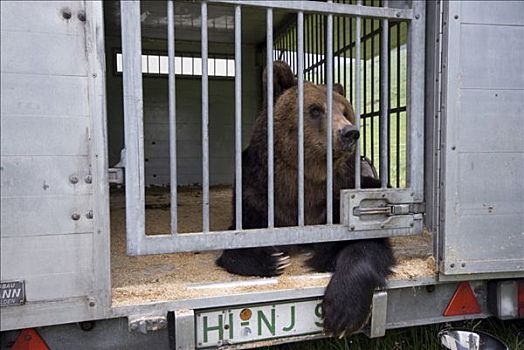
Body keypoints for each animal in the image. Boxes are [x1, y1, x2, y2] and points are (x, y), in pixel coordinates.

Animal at [216, 61, 392, 334]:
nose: (349, 133)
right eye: (315, 109)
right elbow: (236, 241)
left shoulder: (340, 200)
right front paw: (273, 260)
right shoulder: (256, 194)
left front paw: (343, 311)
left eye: (345, 110)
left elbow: (367, 244)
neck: (303, 182)